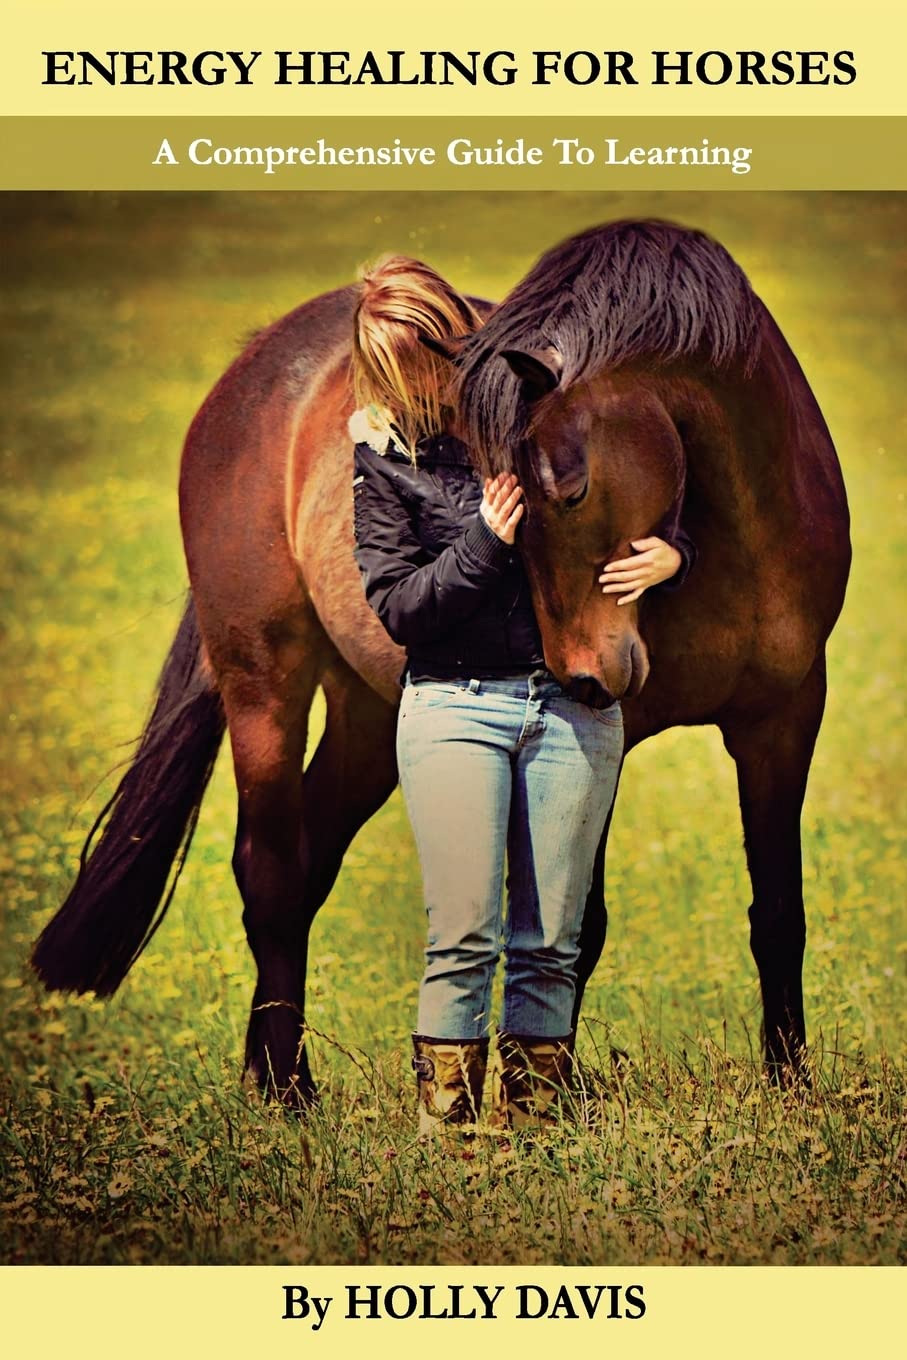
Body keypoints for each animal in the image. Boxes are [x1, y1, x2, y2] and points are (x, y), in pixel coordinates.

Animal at [32, 220, 851, 1106]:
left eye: (566, 488)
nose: (578, 675)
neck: (744, 529)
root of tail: (251, 370)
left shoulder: (784, 719)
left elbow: (778, 911)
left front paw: (791, 1084)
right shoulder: (608, 729)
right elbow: (577, 925)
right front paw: (549, 1094)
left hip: (366, 713)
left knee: (308, 858)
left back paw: (267, 1070)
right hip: (263, 680)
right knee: (271, 871)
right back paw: (289, 1091)